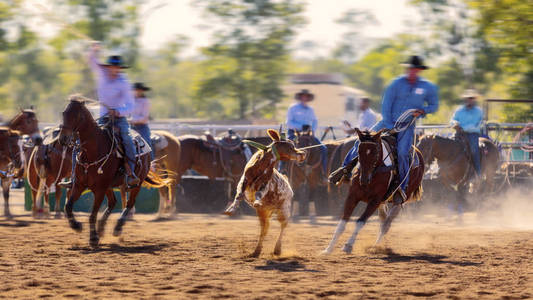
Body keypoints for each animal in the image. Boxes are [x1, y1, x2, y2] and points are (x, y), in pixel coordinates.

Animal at [58, 97, 170, 247]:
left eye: (77, 116)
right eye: (64, 113)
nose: (62, 139)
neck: (93, 151)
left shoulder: (99, 189)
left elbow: (92, 215)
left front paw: (93, 238)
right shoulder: (79, 185)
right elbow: (68, 206)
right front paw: (76, 226)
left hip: (136, 183)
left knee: (129, 203)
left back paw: (117, 228)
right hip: (109, 186)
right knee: (113, 202)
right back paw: (101, 228)